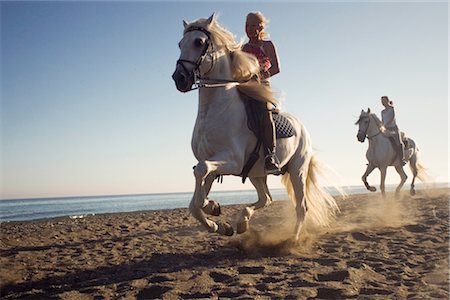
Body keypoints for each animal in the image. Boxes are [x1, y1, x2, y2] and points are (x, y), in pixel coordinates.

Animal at [171, 15, 340, 243]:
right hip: (256, 173)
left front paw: (212, 208)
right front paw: (217, 220)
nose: (179, 78)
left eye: (198, 42)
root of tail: (302, 127)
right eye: (180, 44)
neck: (214, 111)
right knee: (266, 198)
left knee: (301, 206)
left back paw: (293, 240)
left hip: (297, 170)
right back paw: (242, 222)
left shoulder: (232, 161)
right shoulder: (214, 161)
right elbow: (195, 199)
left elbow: (201, 172)